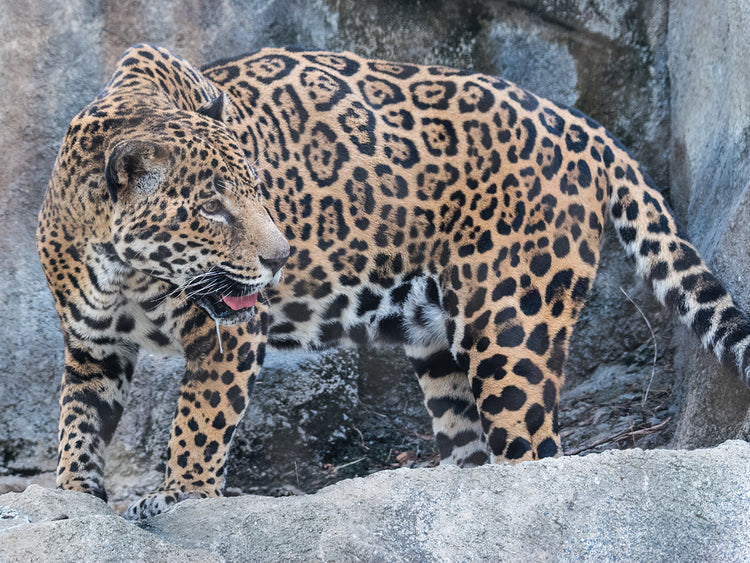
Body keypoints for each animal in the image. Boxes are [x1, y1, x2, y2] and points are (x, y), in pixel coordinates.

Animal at [37, 44, 750, 520]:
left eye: (259, 190)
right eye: (212, 208)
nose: (280, 257)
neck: (128, 270)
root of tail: (586, 129)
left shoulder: (229, 336)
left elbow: (200, 421)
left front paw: (182, 496)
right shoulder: (92, 344)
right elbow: (79, 419)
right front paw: (74, 496)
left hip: (513, 332)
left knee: (538, 457)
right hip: (439, 347)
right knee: (472, 448)